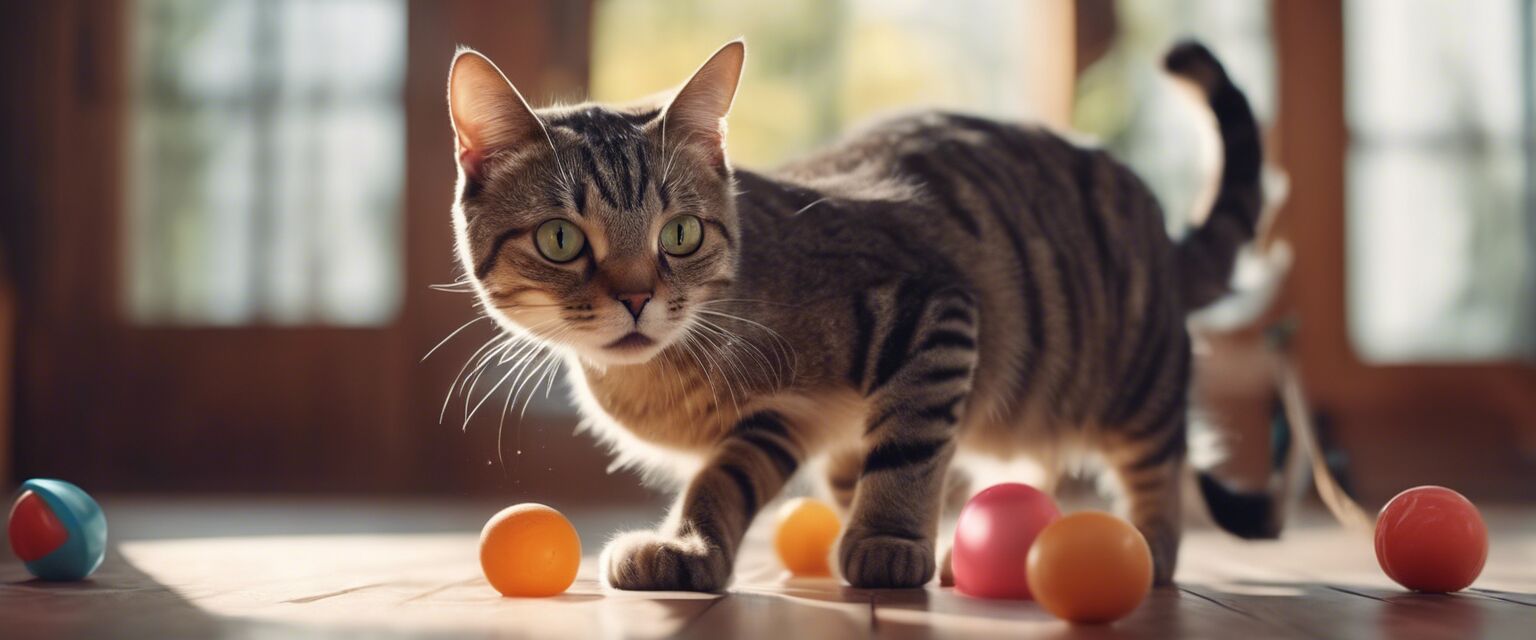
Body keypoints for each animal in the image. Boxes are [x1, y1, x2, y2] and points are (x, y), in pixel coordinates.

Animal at [445, 39, 1271, 589]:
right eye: (560, 240)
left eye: (679, 234)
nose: (637, 296)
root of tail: (1160, 228)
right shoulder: (785, 420)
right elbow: (722, 480)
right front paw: (691, 550)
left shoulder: (933, 313)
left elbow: (906, 451)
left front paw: (887, 539)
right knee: (1030, 472)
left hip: (1135, 384)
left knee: (1160, 468)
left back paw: (1144, 549)